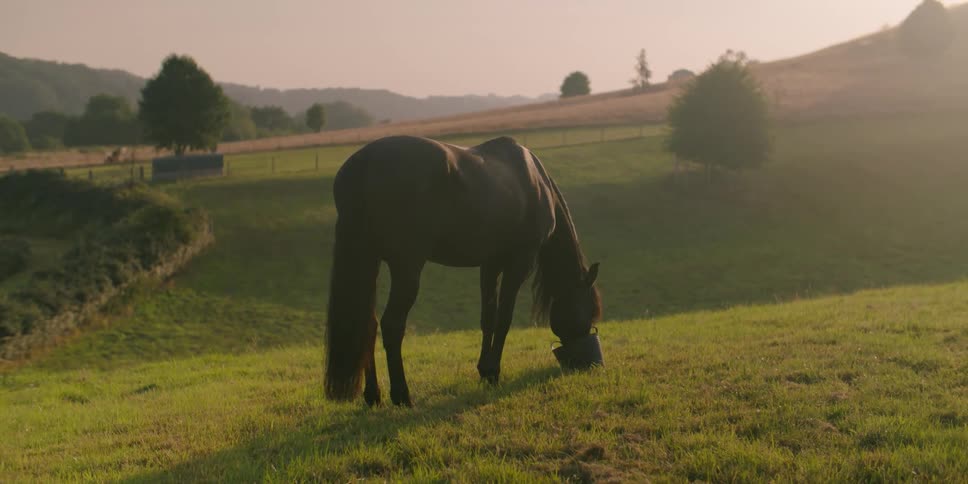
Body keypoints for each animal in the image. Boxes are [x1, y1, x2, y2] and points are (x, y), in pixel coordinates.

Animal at [324, 135, 602, 407]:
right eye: (589, 311)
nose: (588, 362)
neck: (533, 179)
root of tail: (365, 162)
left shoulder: (490, 264)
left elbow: (488, 318)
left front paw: (485, 371)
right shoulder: (519, 263)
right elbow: (504, 318)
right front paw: (494, 371)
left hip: (369, 263)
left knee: (367, 325)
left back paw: (373, 395)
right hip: (406, 267)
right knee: (391, 324)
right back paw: (401, 395)